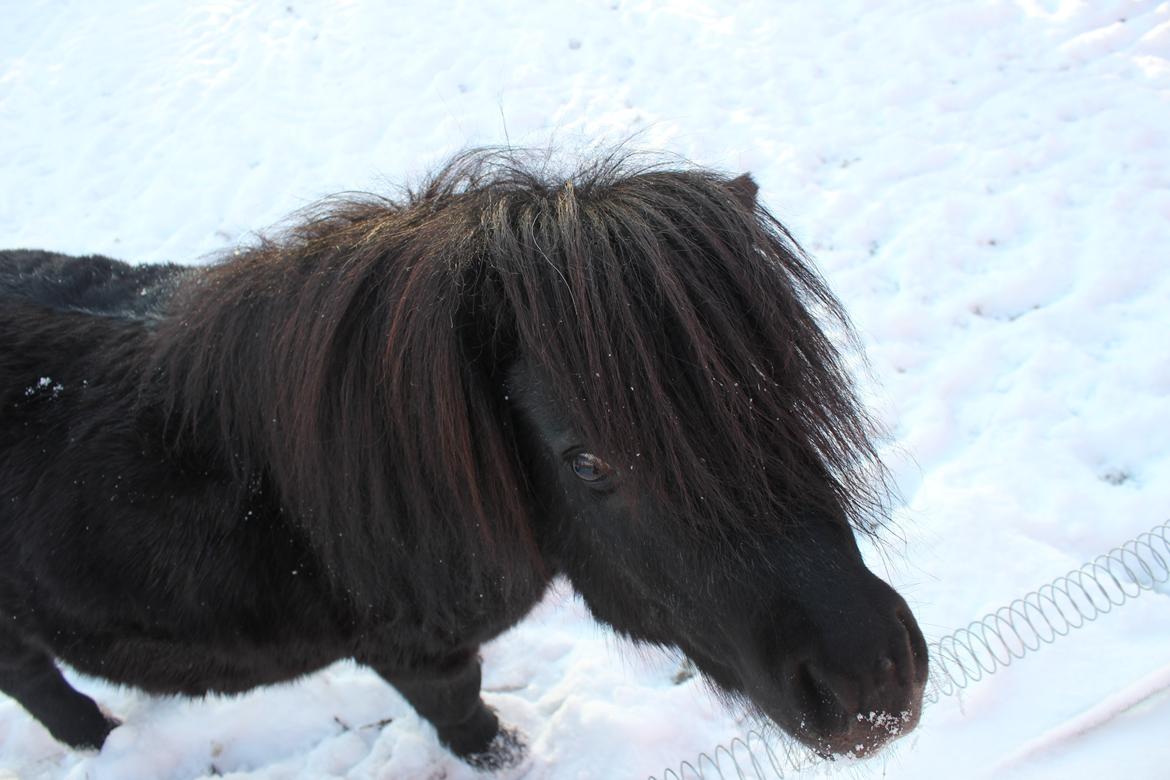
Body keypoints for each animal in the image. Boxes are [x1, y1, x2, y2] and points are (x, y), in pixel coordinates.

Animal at [0, 151, 927, 769]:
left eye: (786, 389)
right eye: (587, 462)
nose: (871, 681)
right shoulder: (415, 654)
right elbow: (464, 712)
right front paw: (503, 755)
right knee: (38, 684)